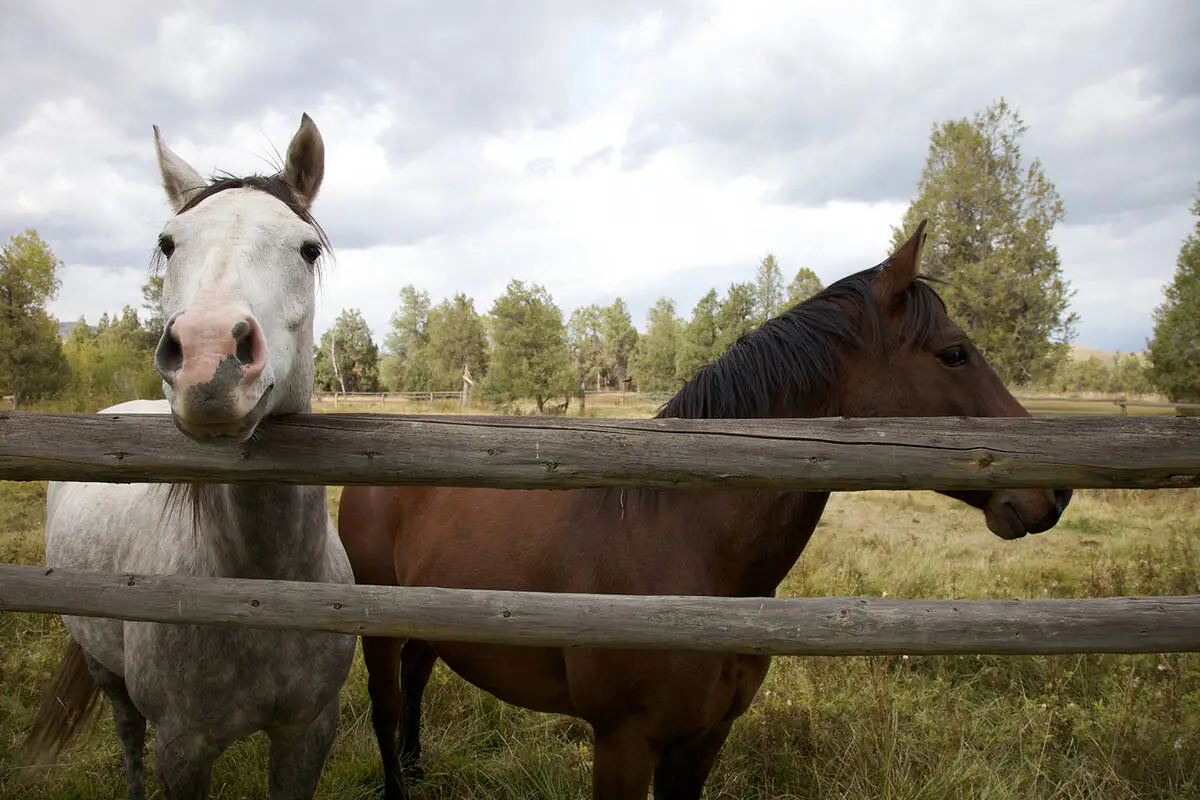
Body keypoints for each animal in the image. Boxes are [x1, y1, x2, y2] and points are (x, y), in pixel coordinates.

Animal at [22, 114, 356, 800]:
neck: (259, 588)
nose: (208, 356)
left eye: (307, 249)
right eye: (169, 243)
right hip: (102, 665)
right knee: (126, 732)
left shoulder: (309, 731)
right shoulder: (183, 747)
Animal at [336, 220, 1074, 800]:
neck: (685, 549)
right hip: (378, 629)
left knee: (416, 686)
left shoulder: (704, 739)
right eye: (954, 353)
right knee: (386, 709)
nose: (1057, 491)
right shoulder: (624, 743)